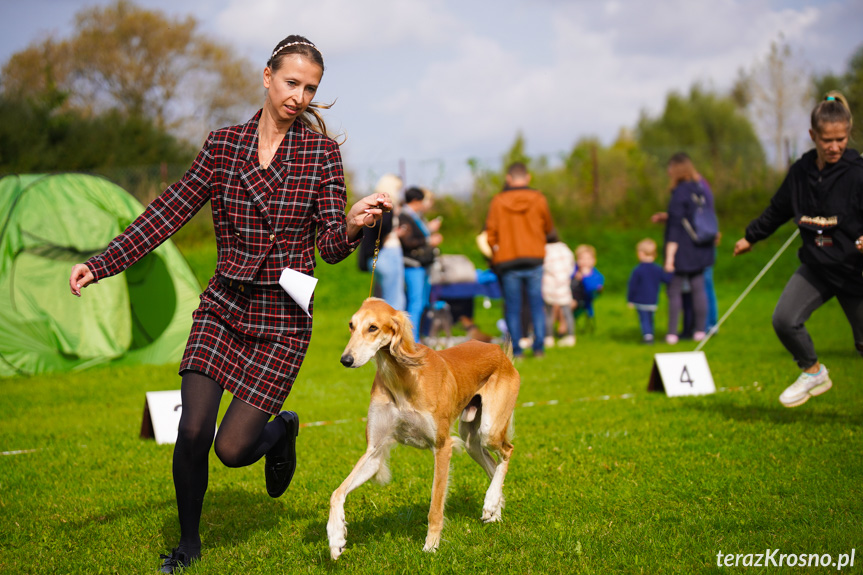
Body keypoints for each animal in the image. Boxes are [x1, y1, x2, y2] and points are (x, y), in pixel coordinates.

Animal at [330, 300, 520, 560]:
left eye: (373, 327)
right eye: (351, 325)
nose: (346, 360)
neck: (402, 377)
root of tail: (499, 351)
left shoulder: (442, 446)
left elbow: (435, 506)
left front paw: (431, 546)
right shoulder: (374, 452)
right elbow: (337, 493)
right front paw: (335, 537)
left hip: (490, 429)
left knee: (507, 451)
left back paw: (491, 502)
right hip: (471, 440)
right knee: (492, 464)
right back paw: (493, 509)